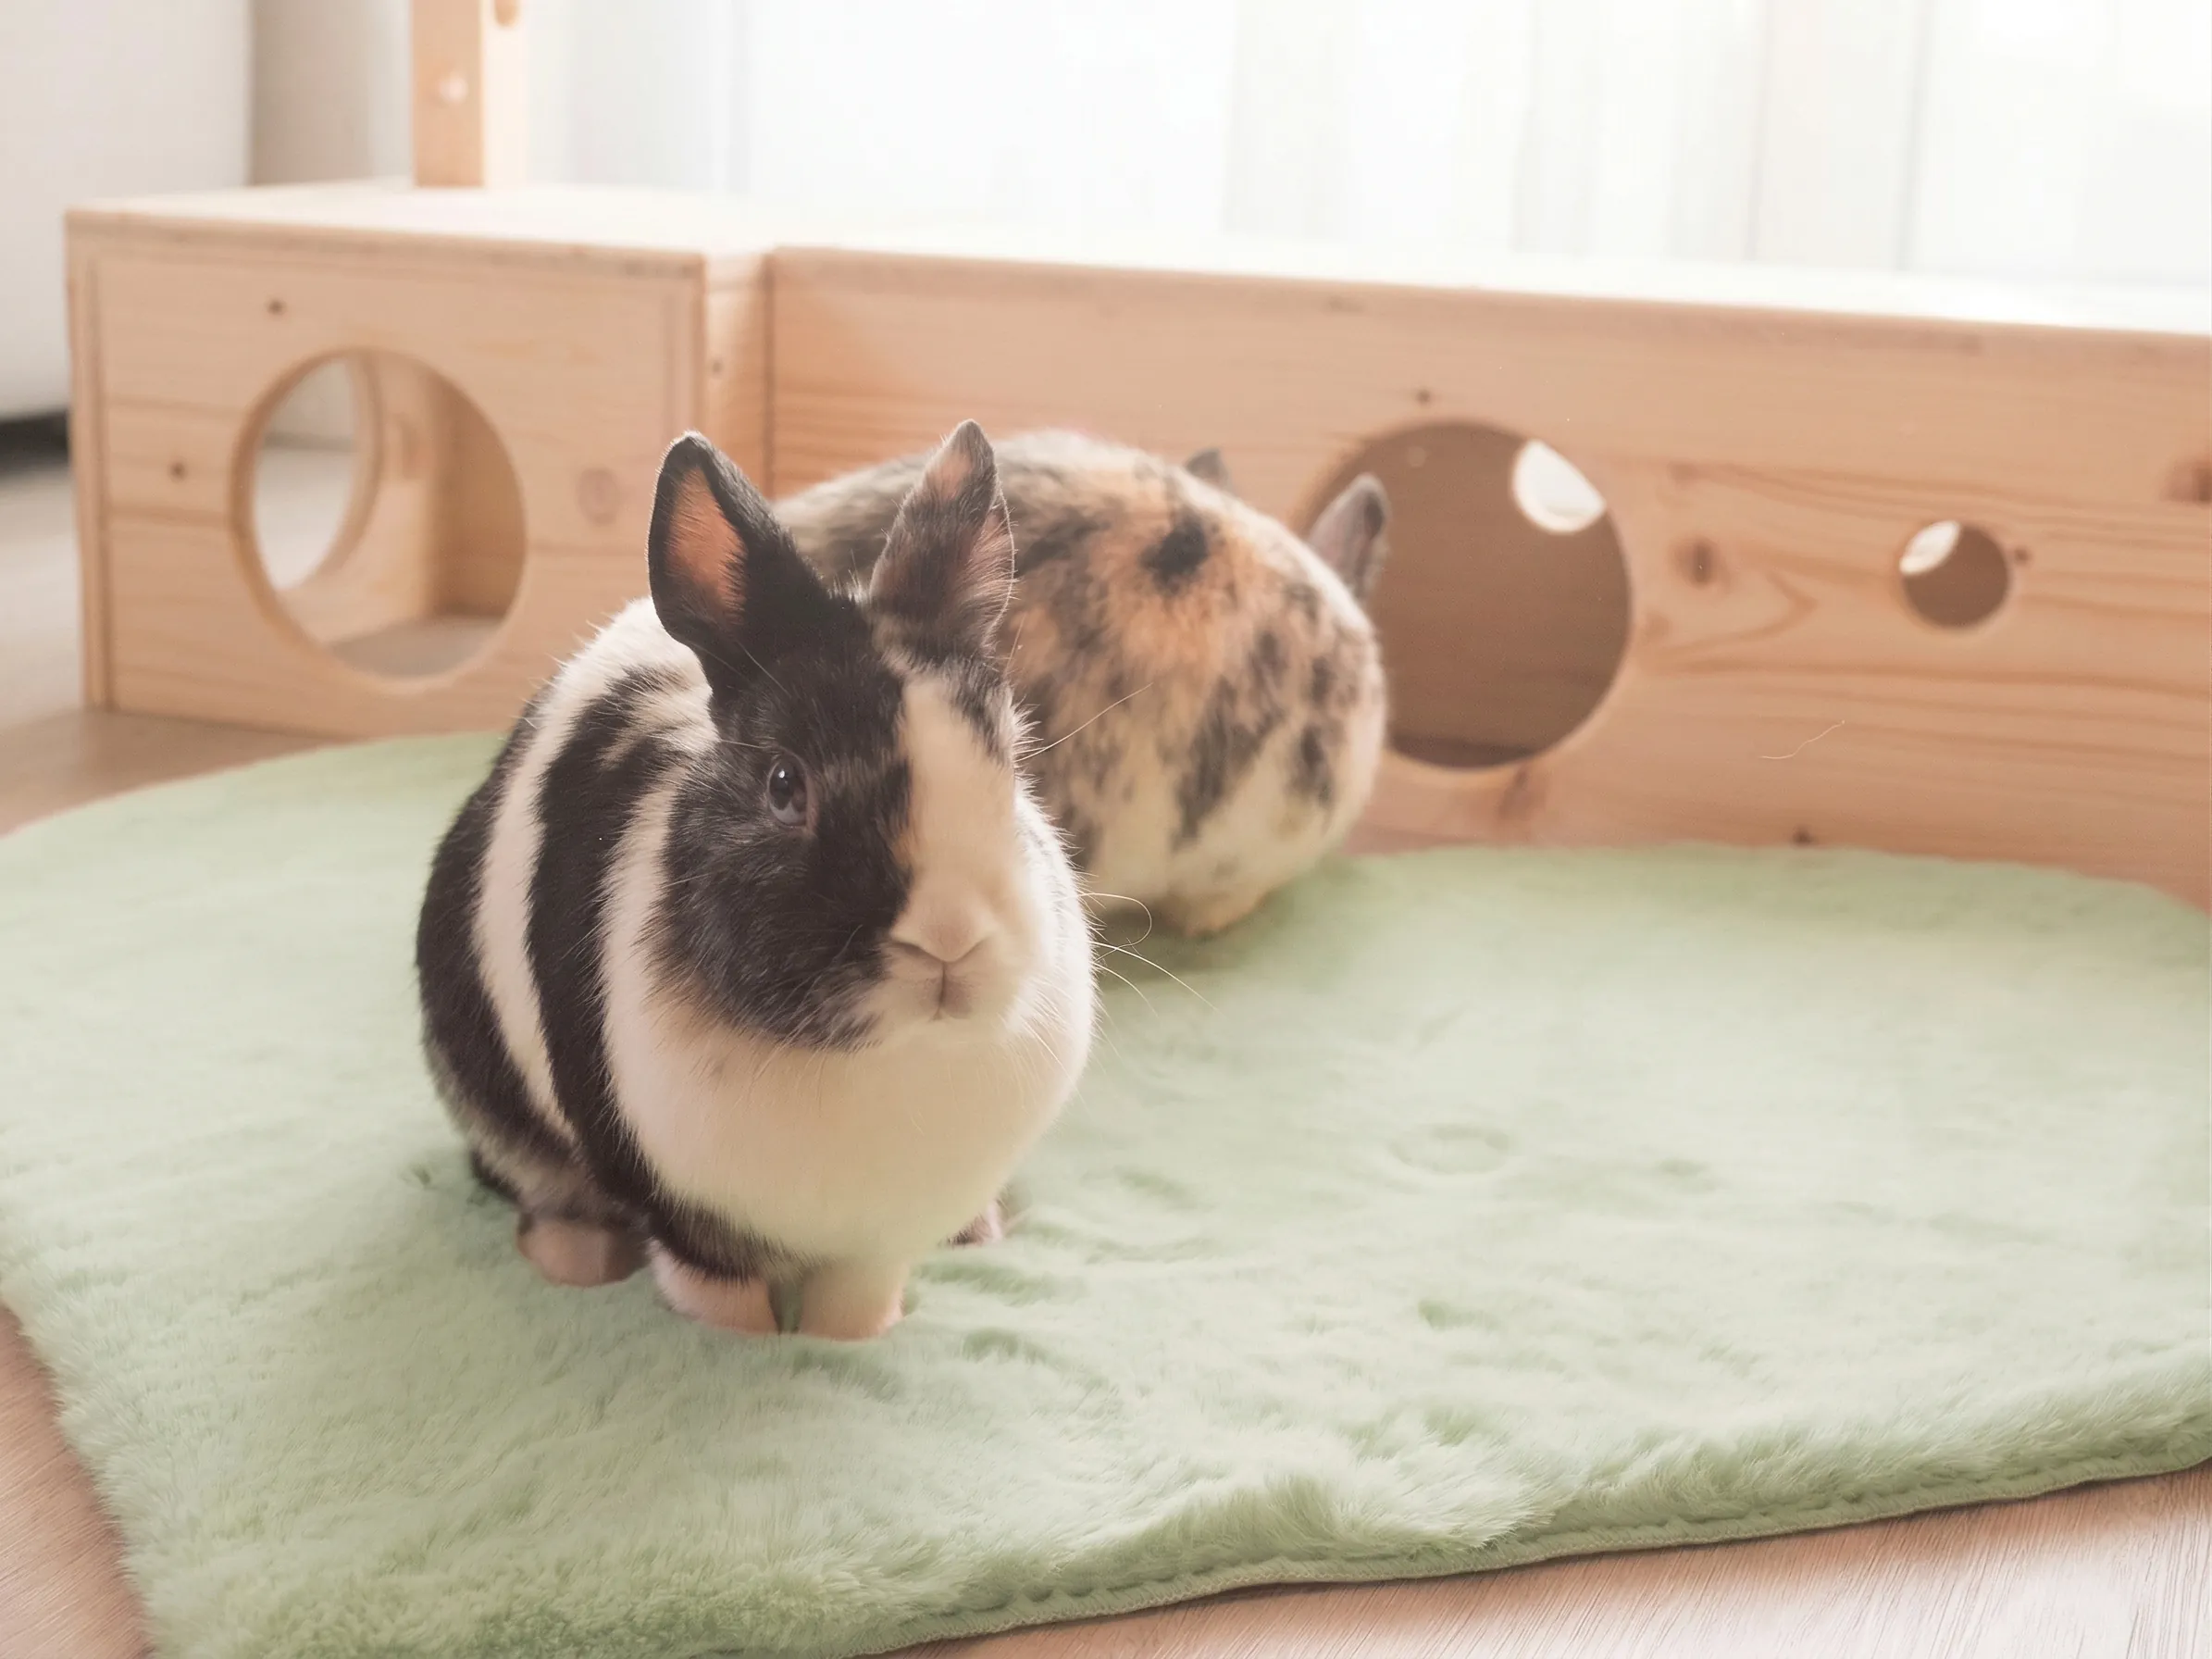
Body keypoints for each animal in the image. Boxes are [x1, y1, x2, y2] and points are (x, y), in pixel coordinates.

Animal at [415, 422, 1096, 1339]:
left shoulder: (877, 1246)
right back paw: (578, 1263)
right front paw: (747, 1352)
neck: (880, 1058)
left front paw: (855, 1343)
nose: (950, 943)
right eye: (783, 785)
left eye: (1011, 764)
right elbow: (725, 1314)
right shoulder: (692, 1226)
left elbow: (852, 1313)